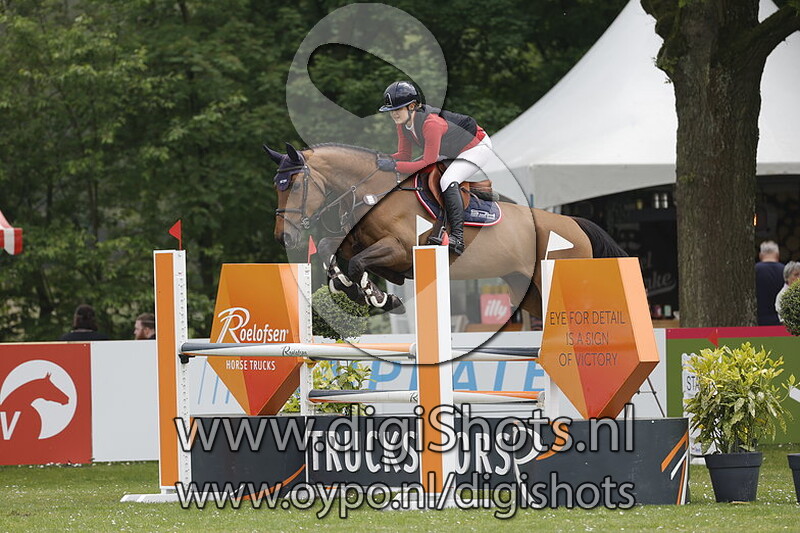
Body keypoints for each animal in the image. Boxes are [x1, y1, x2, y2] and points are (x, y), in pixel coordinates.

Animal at [264, 142, 626, 318]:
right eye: (277, 186)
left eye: (294, 185)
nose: (284, 237)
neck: (372, 192)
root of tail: (575, 224)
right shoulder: (360, 243)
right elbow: (330, 250)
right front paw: (358, 291)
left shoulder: (399, 250)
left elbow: (356, 263)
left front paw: (378, 297)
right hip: (526, 290)